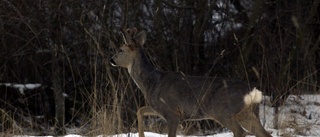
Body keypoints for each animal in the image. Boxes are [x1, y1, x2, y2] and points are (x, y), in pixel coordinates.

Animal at [109, 27, 270, 136]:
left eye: (120, 50)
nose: (111, 60)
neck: (151, 83)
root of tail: (252, 93)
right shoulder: (158, 108)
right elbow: (140, 110)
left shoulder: (172, 113)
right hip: (247, 113)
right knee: (264, 133)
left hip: (223, 111)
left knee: (240, 132)